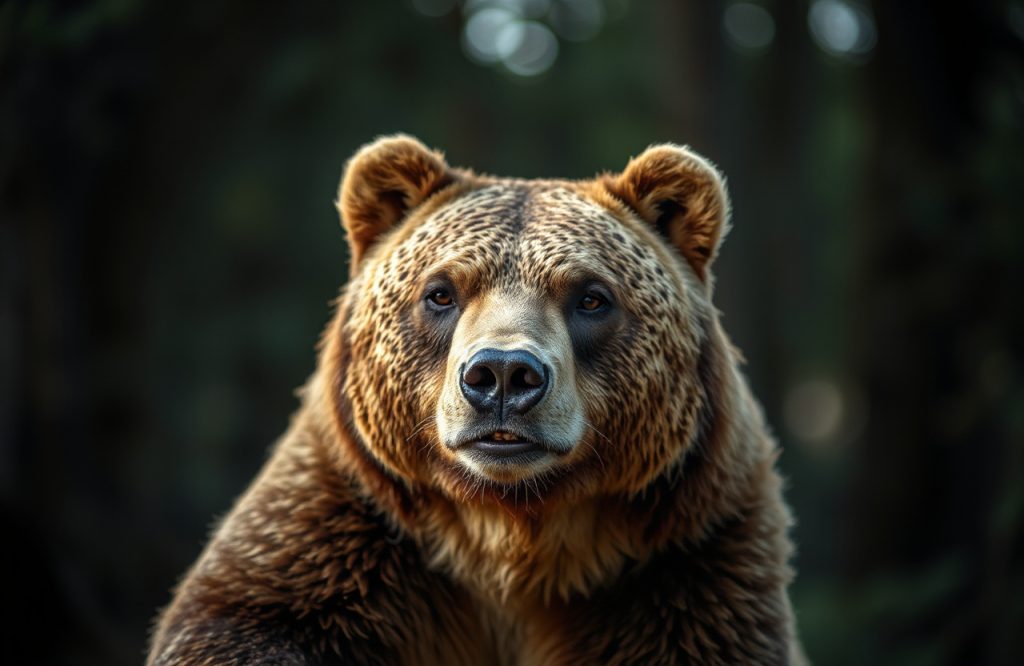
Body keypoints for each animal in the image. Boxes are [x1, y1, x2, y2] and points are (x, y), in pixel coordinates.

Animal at [148, 135, 803, 665]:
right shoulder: (338, 532)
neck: (508, 537)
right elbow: (245, 620)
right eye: (440, 292)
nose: (503, 375)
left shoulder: (689, 557)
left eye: (592, 297)